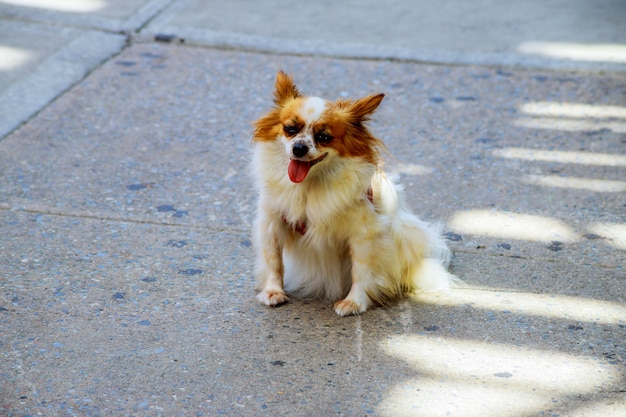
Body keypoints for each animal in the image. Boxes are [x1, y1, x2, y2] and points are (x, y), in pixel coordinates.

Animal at [250, 71, 454, 314]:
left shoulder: (363, 234)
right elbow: (274, 261)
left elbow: (361, 270)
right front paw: (273, 291)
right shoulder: (272, 223)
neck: (310, 185)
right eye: (290, 129)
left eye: (324, 137)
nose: (298, 148)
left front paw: (354, 302)